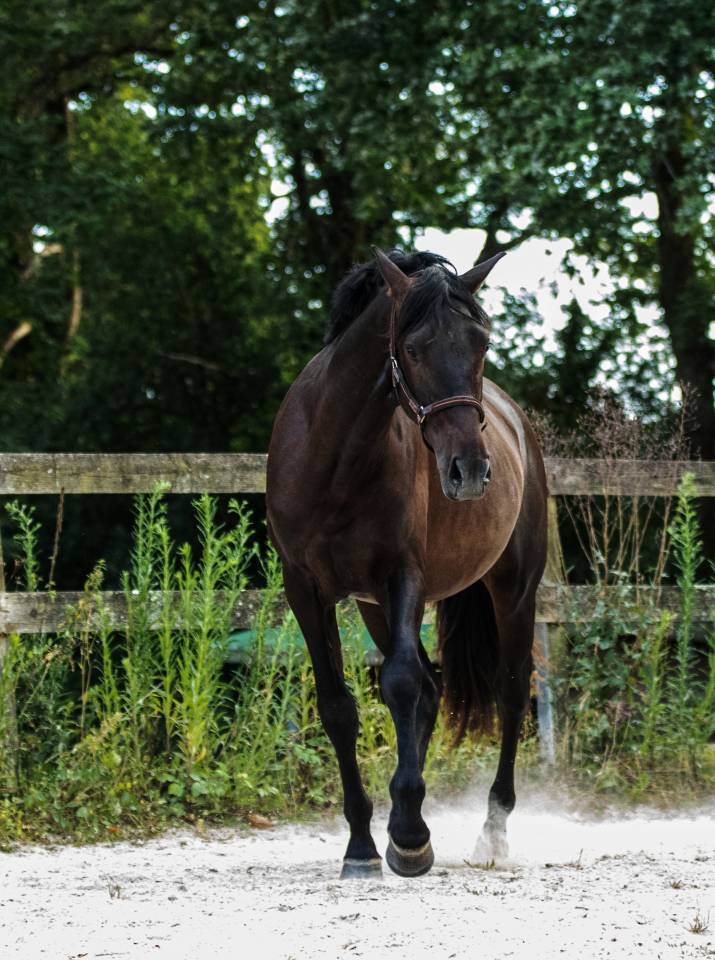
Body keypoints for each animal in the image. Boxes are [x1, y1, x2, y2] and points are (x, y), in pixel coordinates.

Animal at [266, 247, 547, 878]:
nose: (469, 471)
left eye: (481, 344)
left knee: (509, 690)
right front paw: (365, 844)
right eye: (413, 349)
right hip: (373, 606)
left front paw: (411, 835)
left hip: (514, 588)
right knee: (432, 686)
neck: (335, 462)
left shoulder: (402, 577)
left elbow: (398, 685)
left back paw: (491, 832)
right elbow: (339, 706)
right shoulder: (307, 590)